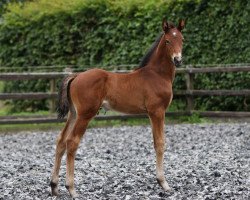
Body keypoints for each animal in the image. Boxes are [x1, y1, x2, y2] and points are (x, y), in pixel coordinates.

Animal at [50, 19, 184, 198]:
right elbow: (160, 143)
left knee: (61, 141)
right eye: (168, 41)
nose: (178, 60)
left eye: (182, 39)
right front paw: (164, 183)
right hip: (85, 115)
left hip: (73, 114)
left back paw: (54, 186)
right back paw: (71, 189)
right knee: (72, 142)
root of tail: (76, 76)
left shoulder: (154, 113)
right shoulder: (157, 112)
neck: (156, 74)